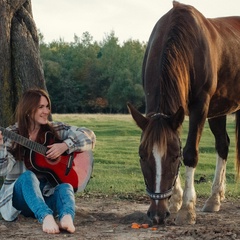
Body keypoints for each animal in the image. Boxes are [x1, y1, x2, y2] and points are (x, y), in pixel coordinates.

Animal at [128, 0, 240, 225]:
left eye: (173, 157)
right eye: (142, 155)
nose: (157, 214)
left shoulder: (200, 106)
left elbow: (190, 154)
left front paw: (187, 209)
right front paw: (175, 201)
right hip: (218, 109)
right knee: (223, 145)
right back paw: (215, 198)